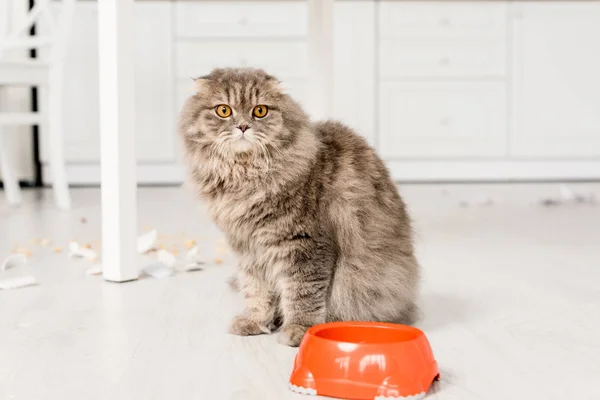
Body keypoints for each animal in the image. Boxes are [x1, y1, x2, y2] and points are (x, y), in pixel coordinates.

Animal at [180, 67, 420, 346]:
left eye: (259, 111)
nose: (243, 127)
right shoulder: (249, 249)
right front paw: (255, 321)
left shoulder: (304, 244)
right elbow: (256, 291)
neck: (245, 176)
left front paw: (299, 330)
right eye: (223, 110)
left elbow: (302, 293)